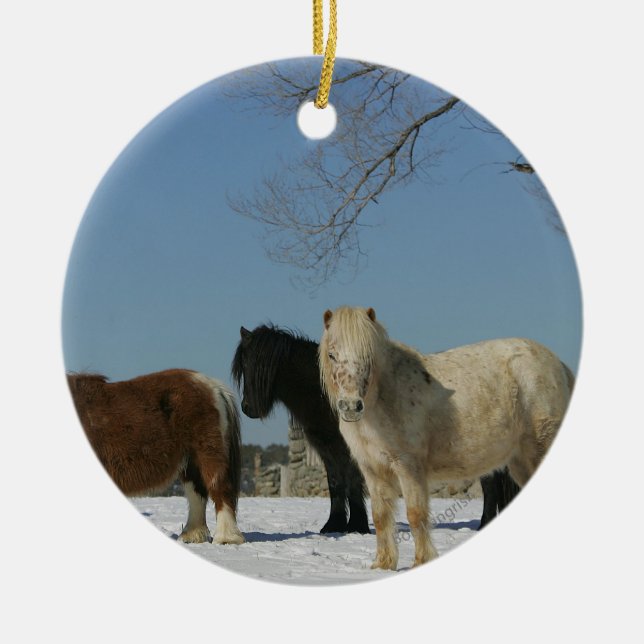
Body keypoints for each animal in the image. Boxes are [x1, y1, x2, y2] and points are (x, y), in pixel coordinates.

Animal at [67, 369, 245, 545]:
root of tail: (212, 386)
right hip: (191, 462)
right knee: (197, 493)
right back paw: (191, 536)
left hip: (208, 453)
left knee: (219, 489)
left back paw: (226, 538)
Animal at [232, 325, 370, 534]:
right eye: (243, 365)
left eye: (250, 365)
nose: (247, 408)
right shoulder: (326, 444)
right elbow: (335, 480)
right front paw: (334, 524)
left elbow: (353, 478)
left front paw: (358, 526)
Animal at [319, 306, 574, 570]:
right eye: (332, 355)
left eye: (368, 355)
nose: (351, 406)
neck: (383, 397)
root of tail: (557, 363)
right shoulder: (373, 470)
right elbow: (380, 517)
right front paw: (382, 565)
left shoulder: (408, 466)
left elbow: (416, 514)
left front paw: (421, 560)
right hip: (521, 461)